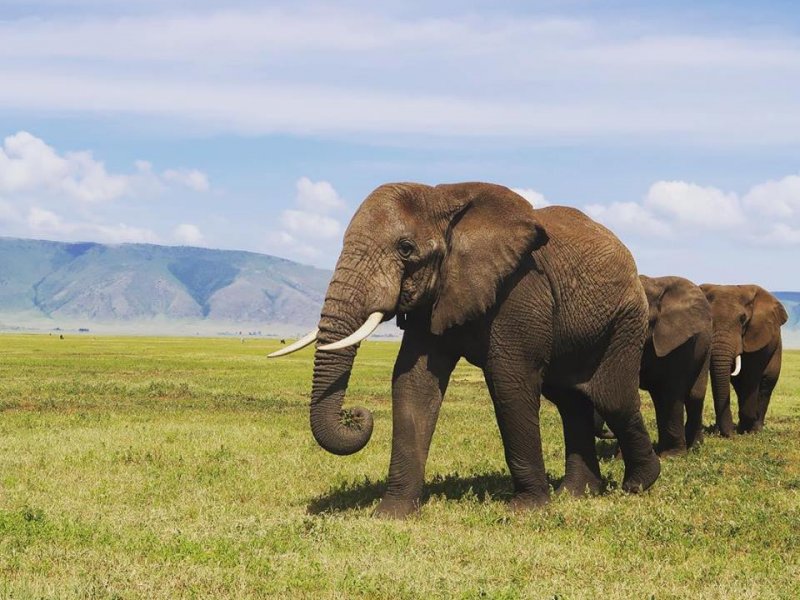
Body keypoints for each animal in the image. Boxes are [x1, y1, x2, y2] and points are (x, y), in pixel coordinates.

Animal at [271, 182, 660, 518]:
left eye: (406, 248)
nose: (355, 414)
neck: (442, 198)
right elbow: (414, 383)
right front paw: (391, 515)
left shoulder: (520, 287)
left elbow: (509, 380)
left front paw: (525, 511)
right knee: (570, 402)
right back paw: (577, 493)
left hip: (626, 318)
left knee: (611, 397)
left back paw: (639, 484)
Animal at [700, 284, 788, 437]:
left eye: (743, 319)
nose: (730, 434)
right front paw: (720, 432)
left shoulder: (757, 337)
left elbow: (752, 377)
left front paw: (747, 428)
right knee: (739, 386)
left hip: (777, 349)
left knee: (766, 385)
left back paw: (755, 429)